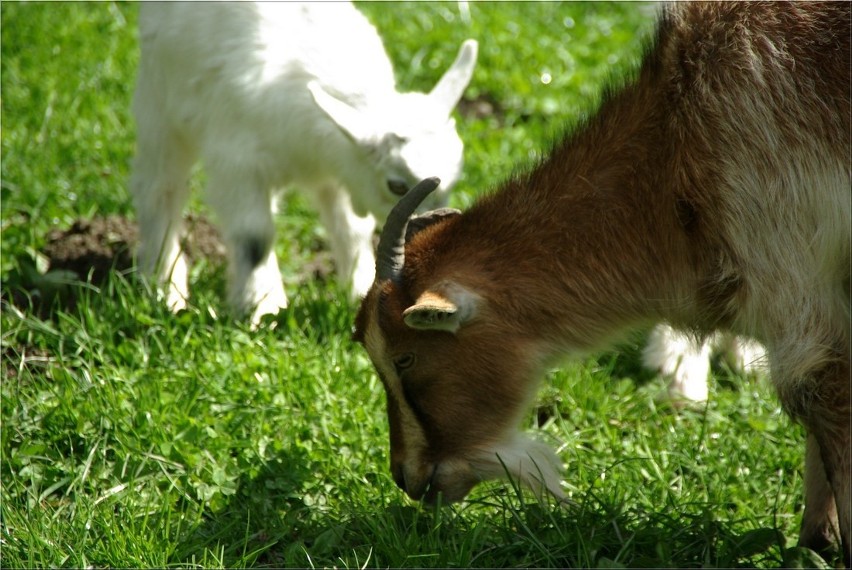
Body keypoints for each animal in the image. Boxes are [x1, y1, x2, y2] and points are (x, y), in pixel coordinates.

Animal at [130, 2, 476, 324]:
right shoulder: (239, 164)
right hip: (158, 101)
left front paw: (360, 290)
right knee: (160, 188)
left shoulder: (339, 169)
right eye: (396, 185)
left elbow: (353, 229)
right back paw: (165, 288)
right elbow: (254, 238)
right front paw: (261, 309)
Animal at [354, 2, 852, 564]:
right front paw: (815, 544)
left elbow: (823, 399)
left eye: (404, 358)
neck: (677, 146)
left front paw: (821, 541)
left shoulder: (790, 271)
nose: (406, 475)